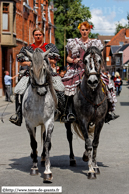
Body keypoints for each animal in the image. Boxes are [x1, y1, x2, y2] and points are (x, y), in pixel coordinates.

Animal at [22, 48, 57, 182]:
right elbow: (33, 143)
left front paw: (47, 171)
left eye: (44, 69)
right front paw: (34, 168)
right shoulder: (29, 124)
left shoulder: (49, 122)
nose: (42, 91)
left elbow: (46, 143)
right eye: (31, 70)